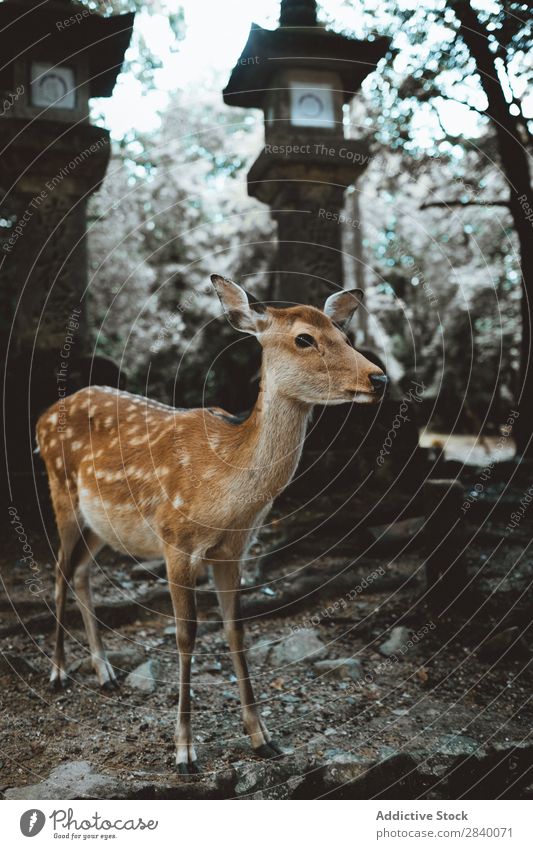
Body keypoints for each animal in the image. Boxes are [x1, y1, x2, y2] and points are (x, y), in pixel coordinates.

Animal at [37, 274, 386, 772]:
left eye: (343, 333)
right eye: (304, 338)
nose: (379, 377)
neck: (227, 491)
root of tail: (42, 417)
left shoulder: (234, 548)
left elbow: (236, 630)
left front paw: (263, 737)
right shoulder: (176, 540)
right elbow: (186, 635)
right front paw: (184, 751)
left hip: (101, 525)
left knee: (81, 571)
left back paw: (104, 672)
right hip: (61, 494)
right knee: (59, 572)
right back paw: (58, 673)